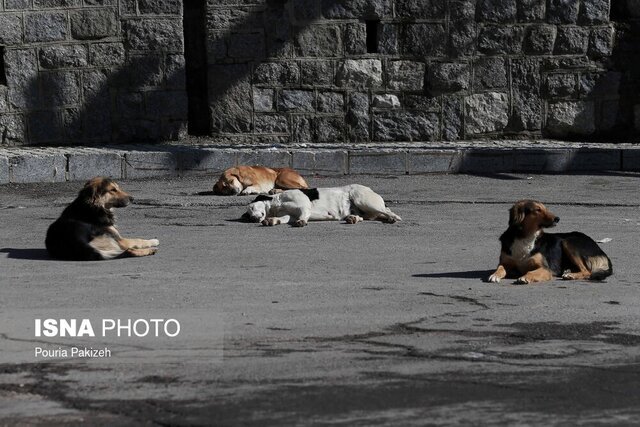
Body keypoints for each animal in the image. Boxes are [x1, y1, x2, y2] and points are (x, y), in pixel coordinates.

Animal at [244, 184, 400, 227]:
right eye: (248, 215)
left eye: (251, 208)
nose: (252, 219)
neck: (278, 203)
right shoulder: (289, 215)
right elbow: (282, 219)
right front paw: (272, 220)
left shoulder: (304, 206)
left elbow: (302, 216)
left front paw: (302, 221)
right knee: (366, 216)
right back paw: (353, 218)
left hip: (362, 199)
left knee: (388, 211)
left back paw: (393, 218)